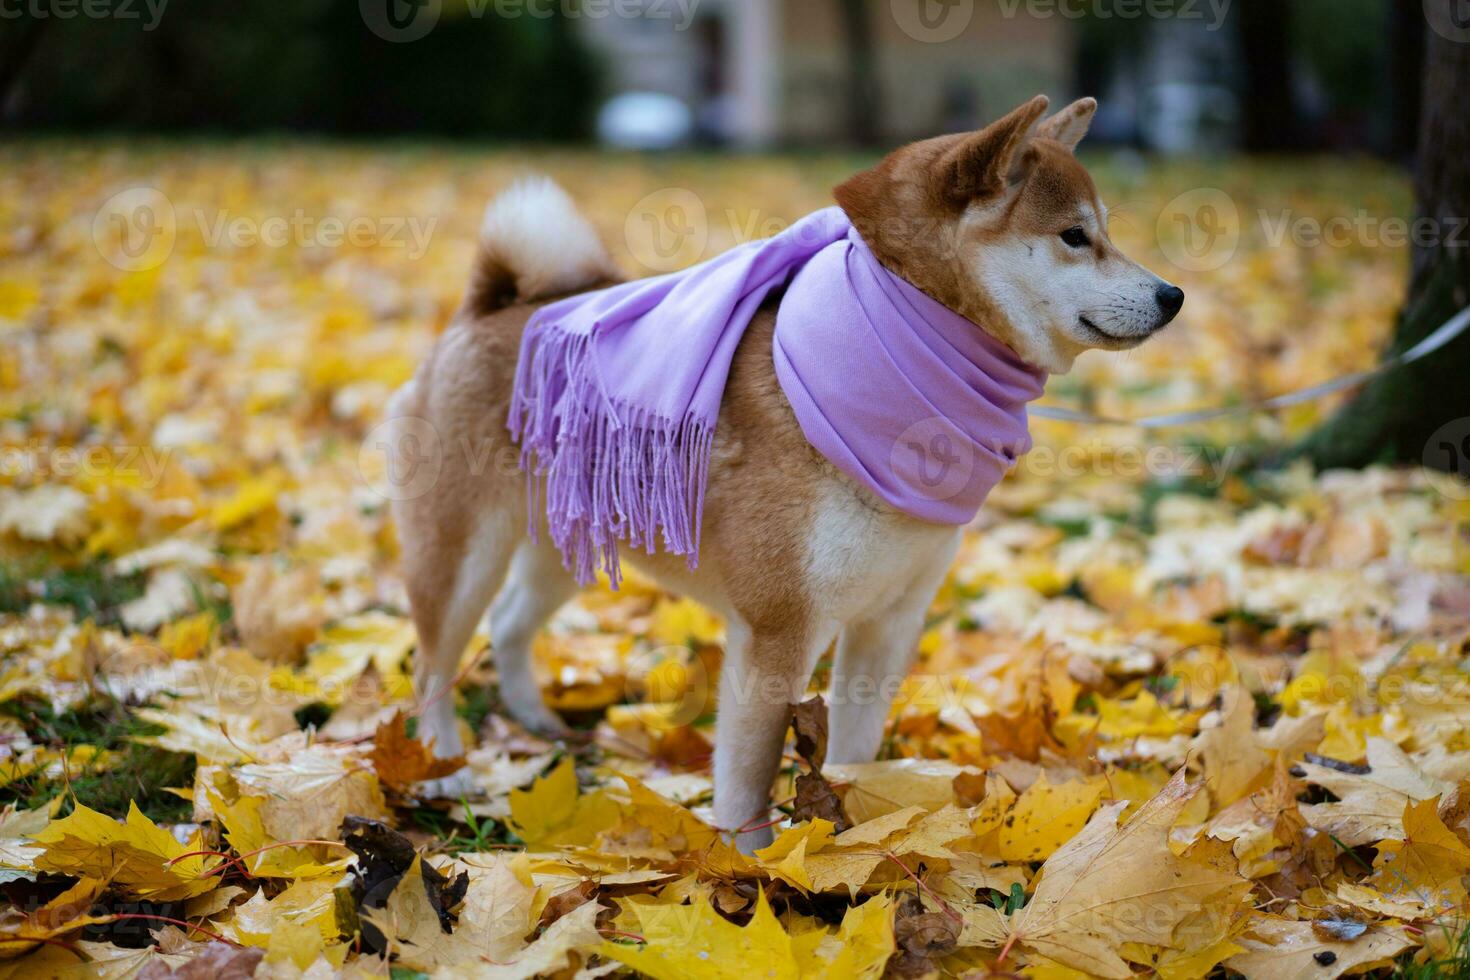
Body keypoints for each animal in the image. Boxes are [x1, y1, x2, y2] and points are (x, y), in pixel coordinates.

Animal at [388, 95, 1181, 852]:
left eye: (1104, 231)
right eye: (1075, 236)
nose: (1172, 295)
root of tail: (494, 307)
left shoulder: (889, 619)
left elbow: (855, 750)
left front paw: (862, 837)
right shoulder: (778, 629)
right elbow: (750, 770)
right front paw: (754, 862)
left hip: (567, 543)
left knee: (509, 625)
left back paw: (536, 722)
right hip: (461, 555)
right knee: (433, 664)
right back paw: (441, 769)